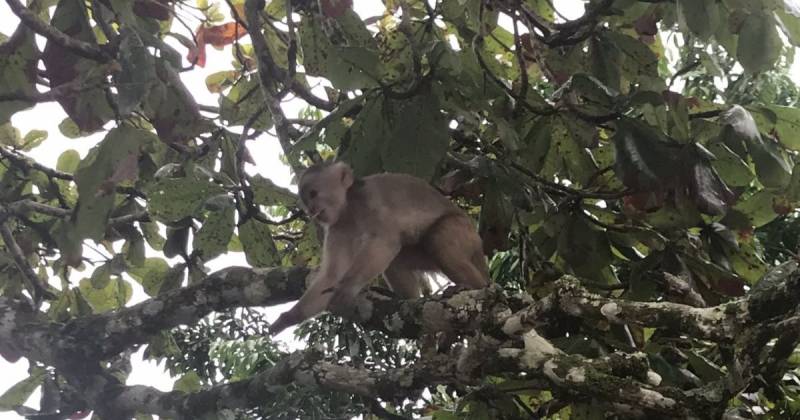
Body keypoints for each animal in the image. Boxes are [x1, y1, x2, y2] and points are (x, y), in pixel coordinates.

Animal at [268, 161, 488, 334]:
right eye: (306, 201)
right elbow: (331, 275)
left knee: (437, 239)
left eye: (313, 194)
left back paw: (476, 287)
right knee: (399, 259)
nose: (312, 210)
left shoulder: (369, 200)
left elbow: (385, 241)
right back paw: (409, 301)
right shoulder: (336, 228)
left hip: (464, 231)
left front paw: (347, 287)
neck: (349, 209)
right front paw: (289, 317)